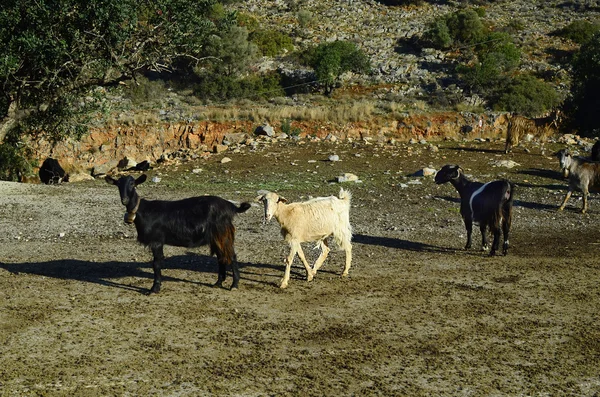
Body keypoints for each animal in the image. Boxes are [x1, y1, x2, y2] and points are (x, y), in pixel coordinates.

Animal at [105, 175, 251, 292]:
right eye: (118, 184)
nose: (124, 200)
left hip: (222, 233)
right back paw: (218, 283)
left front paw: (154, 288)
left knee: (231, 256)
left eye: (132, 183)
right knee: (221, 257)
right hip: (215, 237)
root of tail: (231, 206)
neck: (142, 210)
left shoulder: (157, 240)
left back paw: (234, 285)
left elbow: (156, 264)